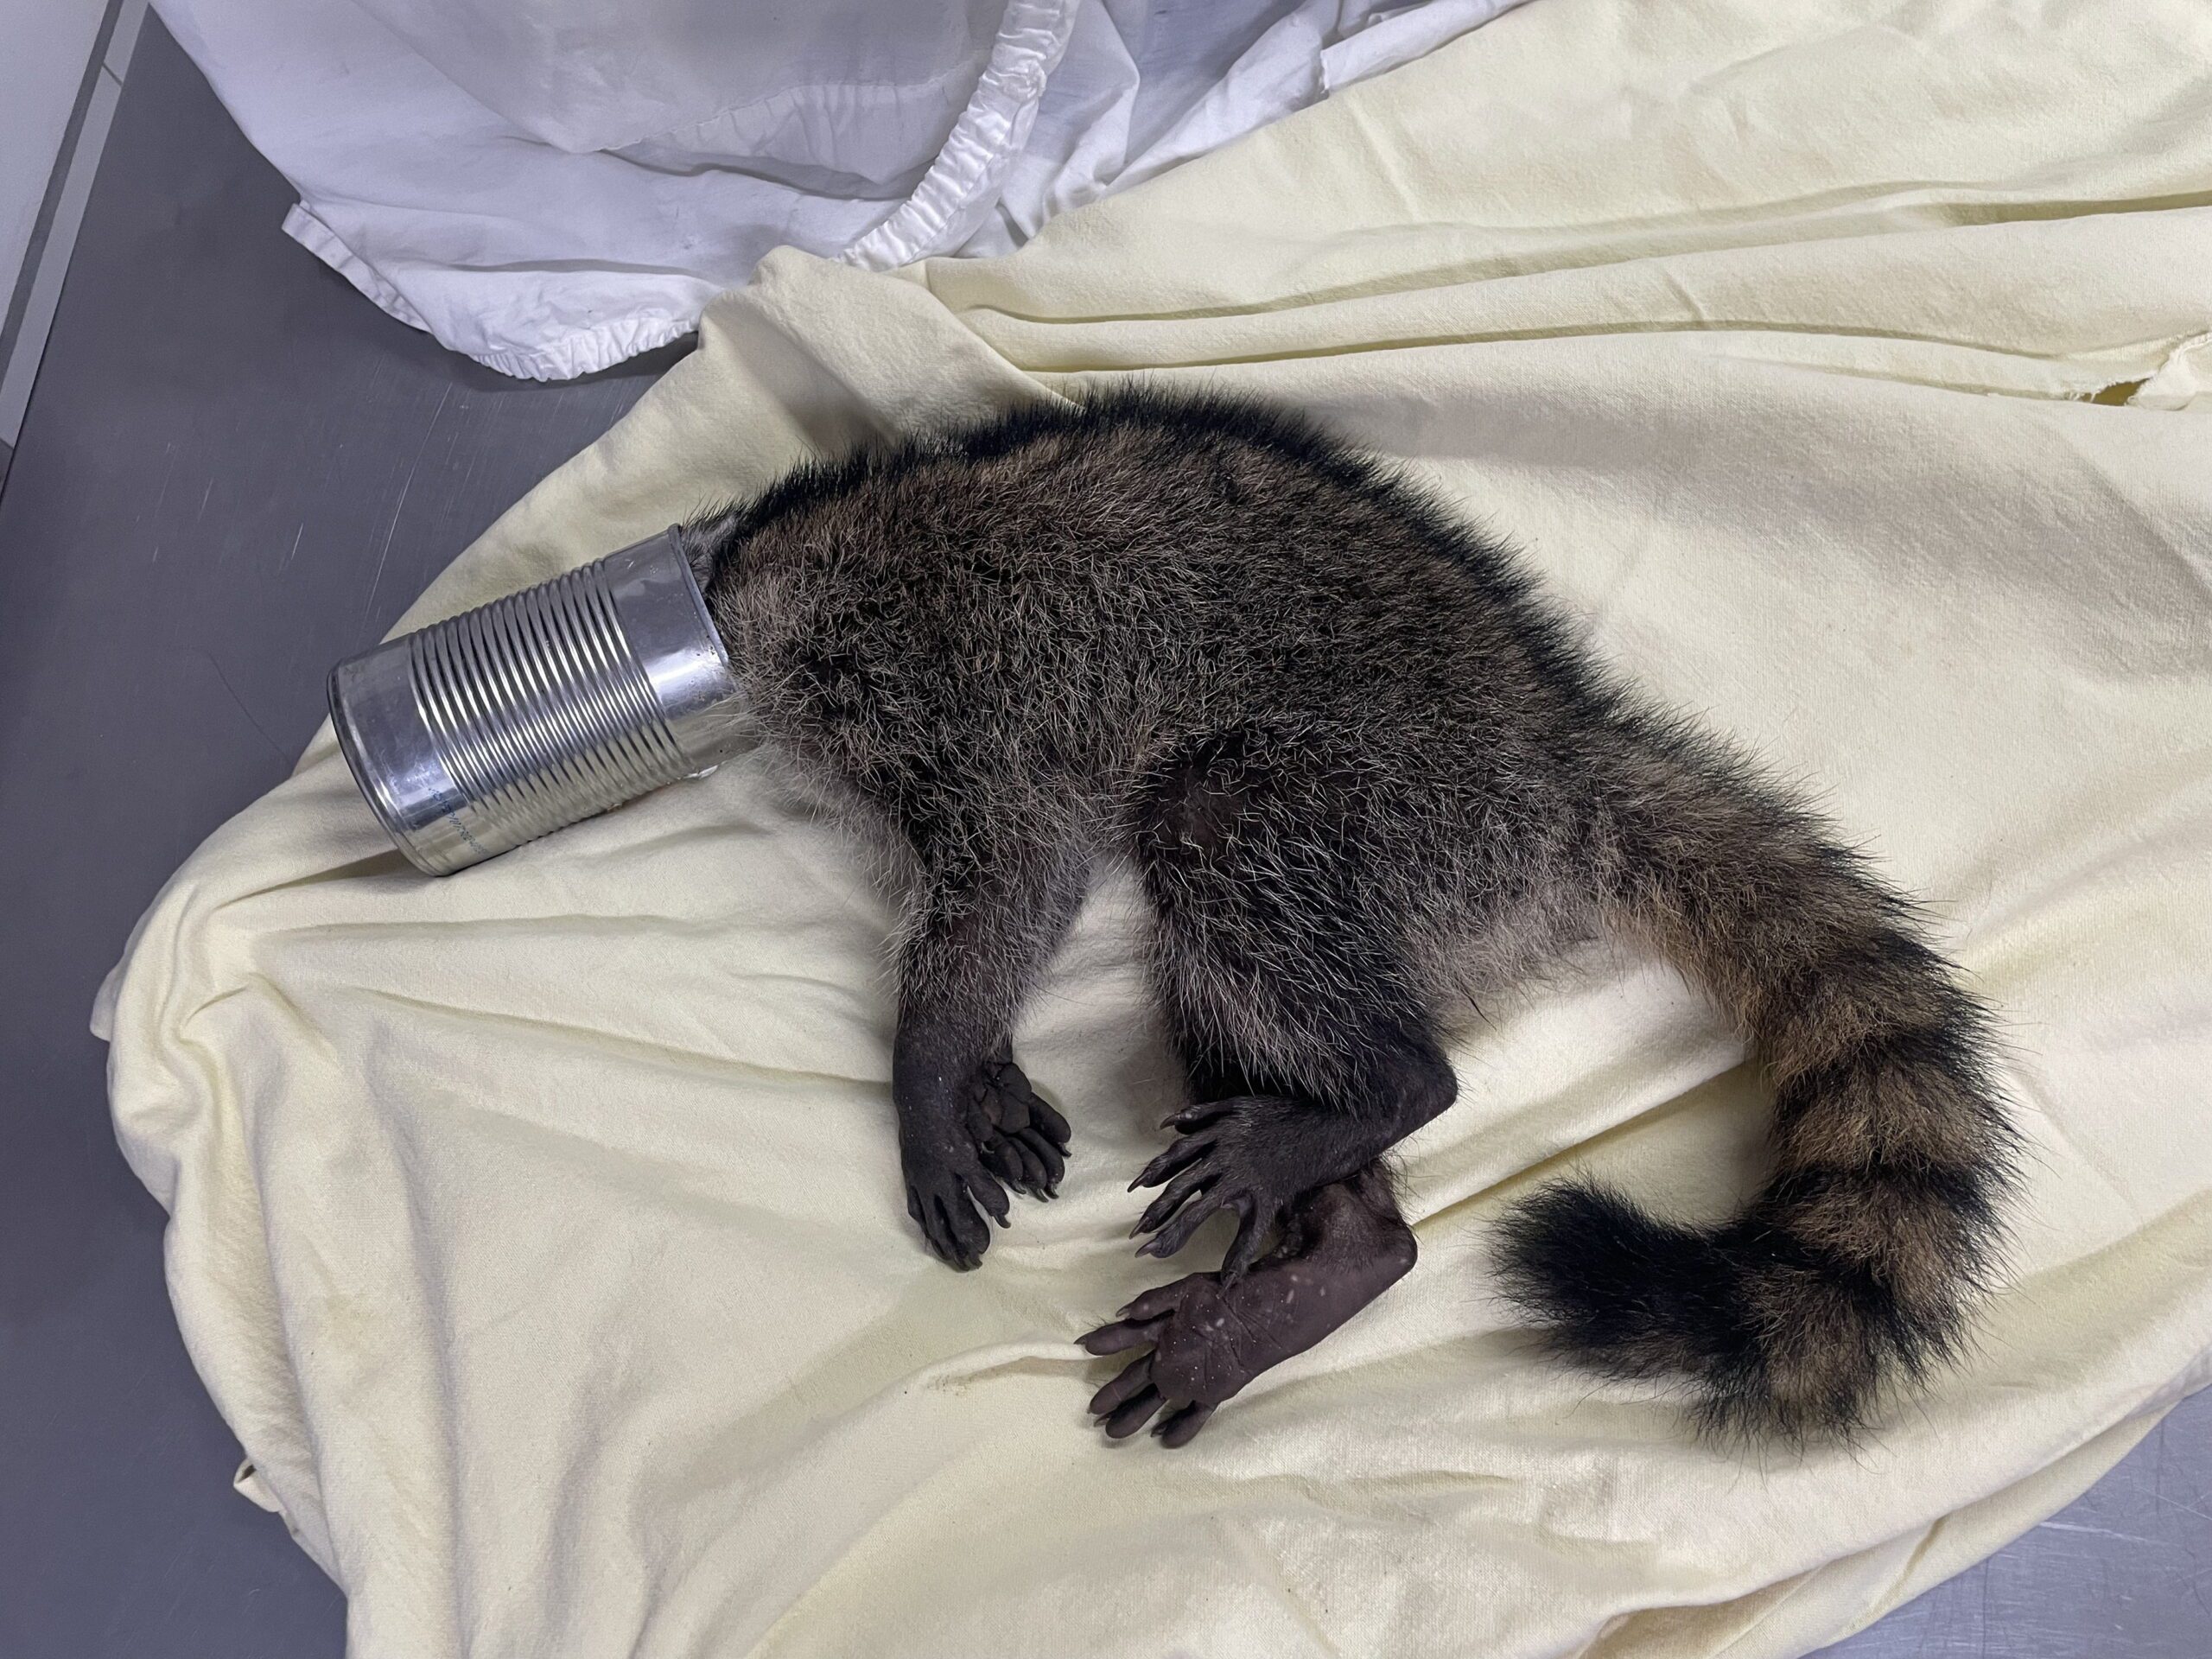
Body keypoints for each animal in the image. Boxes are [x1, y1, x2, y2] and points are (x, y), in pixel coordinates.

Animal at [680, 391, 2015, 1445]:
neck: (747, 572)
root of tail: (1564, 763)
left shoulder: (910, 678)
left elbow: (1015, 871)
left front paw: (927, 1067)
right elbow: (1009, 905)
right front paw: (985, 1069)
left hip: (1402, 813)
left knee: (1215, 837)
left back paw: (1384, 1088)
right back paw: (1348, 1238)